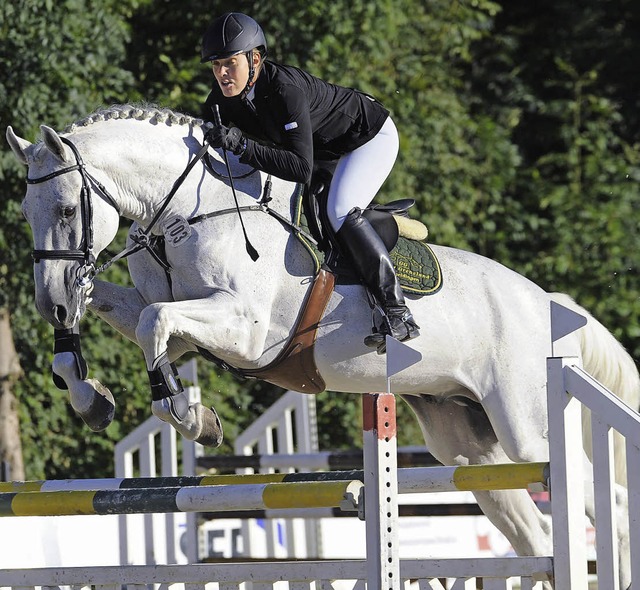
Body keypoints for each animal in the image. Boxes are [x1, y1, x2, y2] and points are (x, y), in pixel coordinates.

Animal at [6, 106, 640, 590]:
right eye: (25, 214)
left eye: (67, 209)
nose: (52, 304)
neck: (185, 213)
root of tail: (548, 302)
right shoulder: (185, 330)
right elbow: (136, 319)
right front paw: (90, 394)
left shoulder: (246, 330)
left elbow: (152, 323)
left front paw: (189, 414)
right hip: (467, 448)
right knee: (535, 535)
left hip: (527, 425)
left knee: (603, 504)